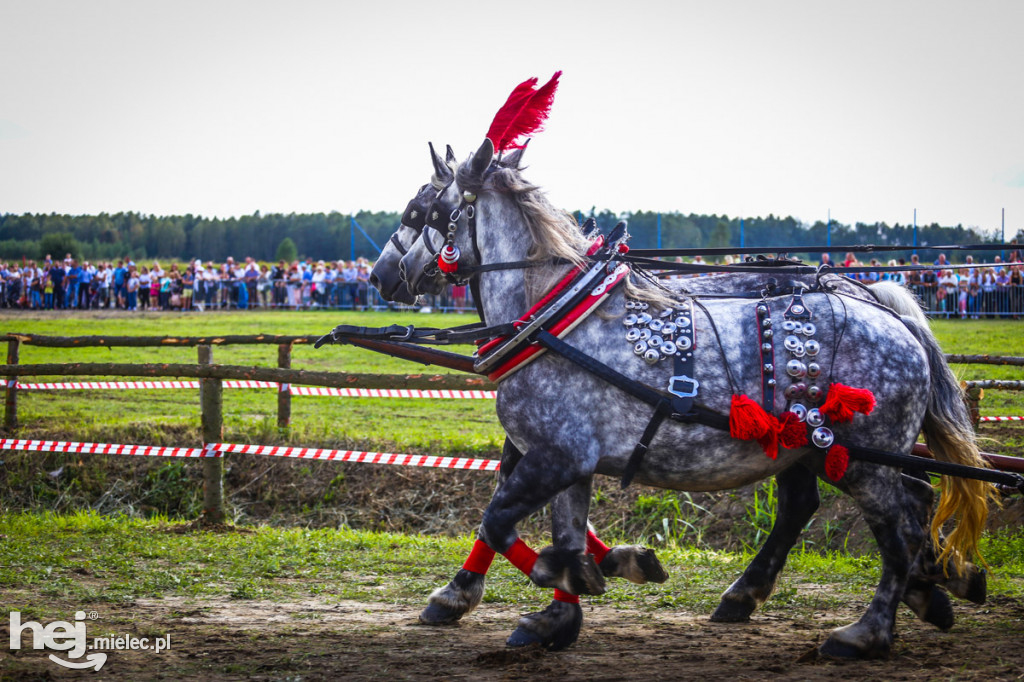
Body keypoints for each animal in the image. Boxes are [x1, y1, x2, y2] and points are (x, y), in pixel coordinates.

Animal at [393, 139, 991, 659]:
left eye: (421, 211)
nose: (386, 275)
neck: (554, 319)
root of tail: (896, 318)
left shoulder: (554, 456)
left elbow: (497, 520)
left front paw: (557, 576)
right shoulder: (566, 458)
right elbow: (561, 526)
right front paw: (562, 609)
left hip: (856, 459)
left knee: (900, 526)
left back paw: (867, 631)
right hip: (822, 452)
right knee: (896, 501)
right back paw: (919, 588)